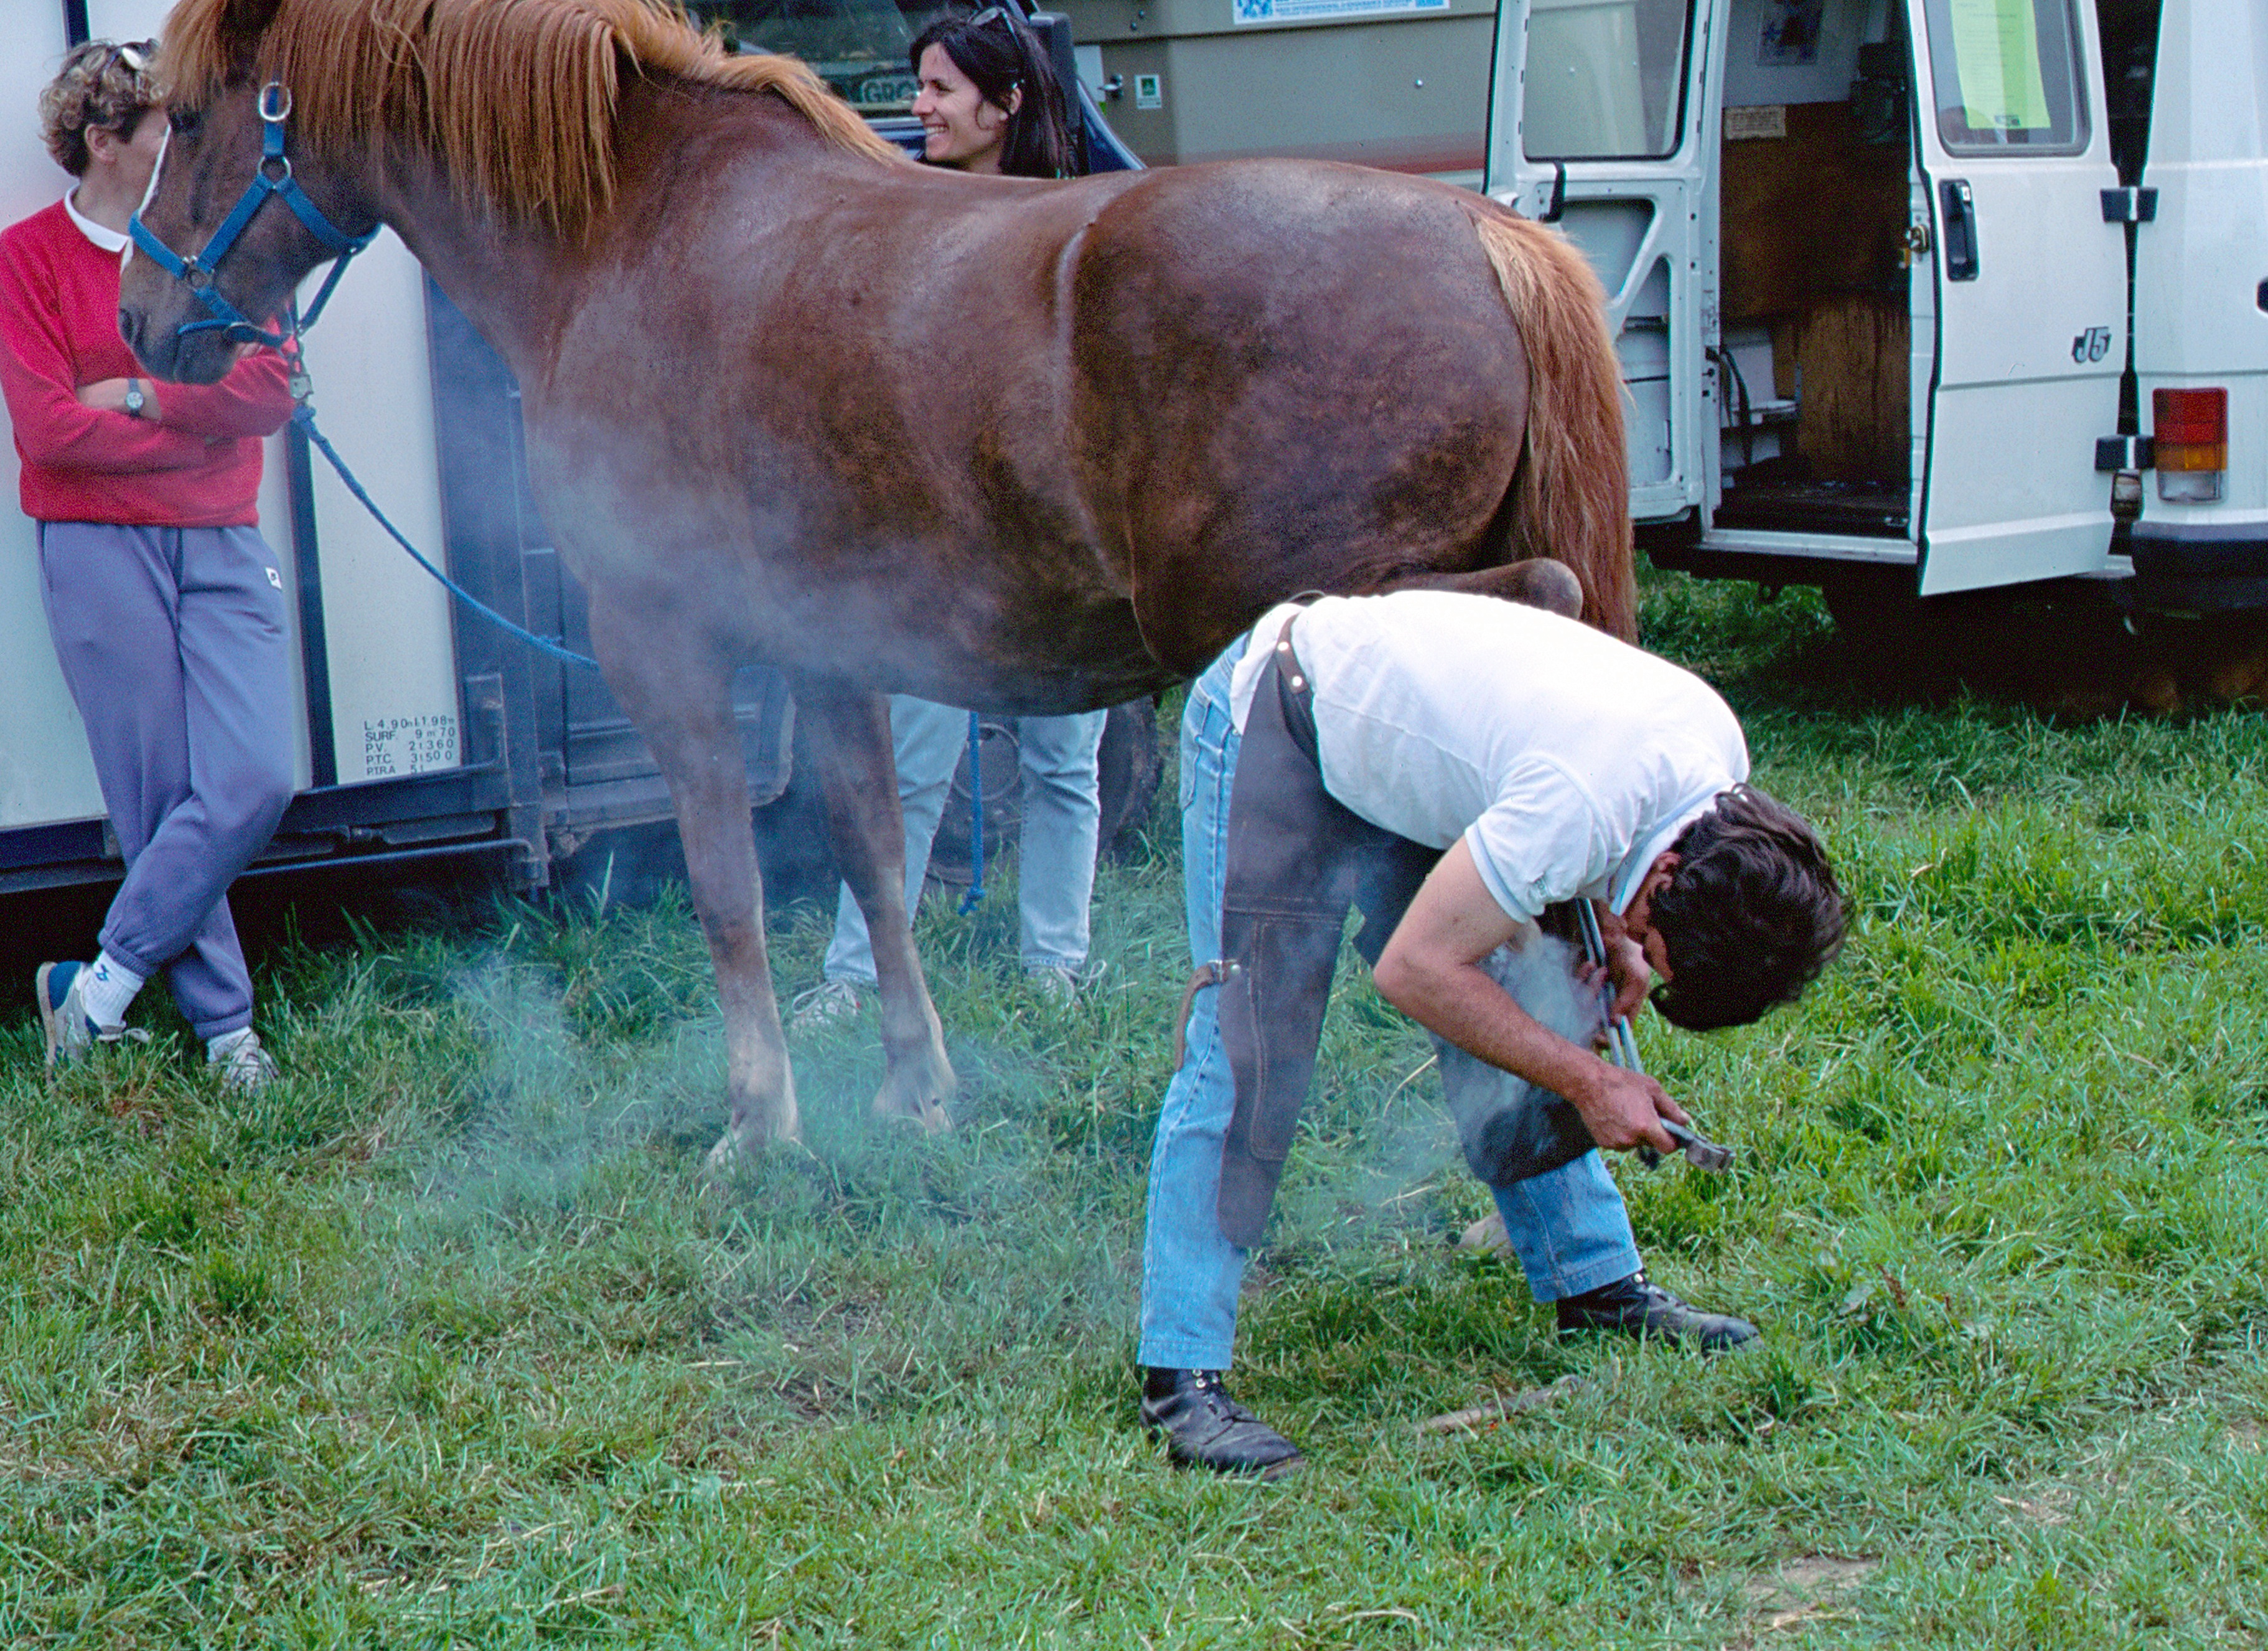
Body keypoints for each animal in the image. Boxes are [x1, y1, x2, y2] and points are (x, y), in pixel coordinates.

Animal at [119, 0, 1633, 1161]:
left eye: (185, 119)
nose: (142, 314)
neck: (633, 229)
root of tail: (1486, 237)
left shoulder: (666, 643)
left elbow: (728, 885)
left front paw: (759, 1123)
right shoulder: (826, 654)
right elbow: (872, 853)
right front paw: (915, 1090)